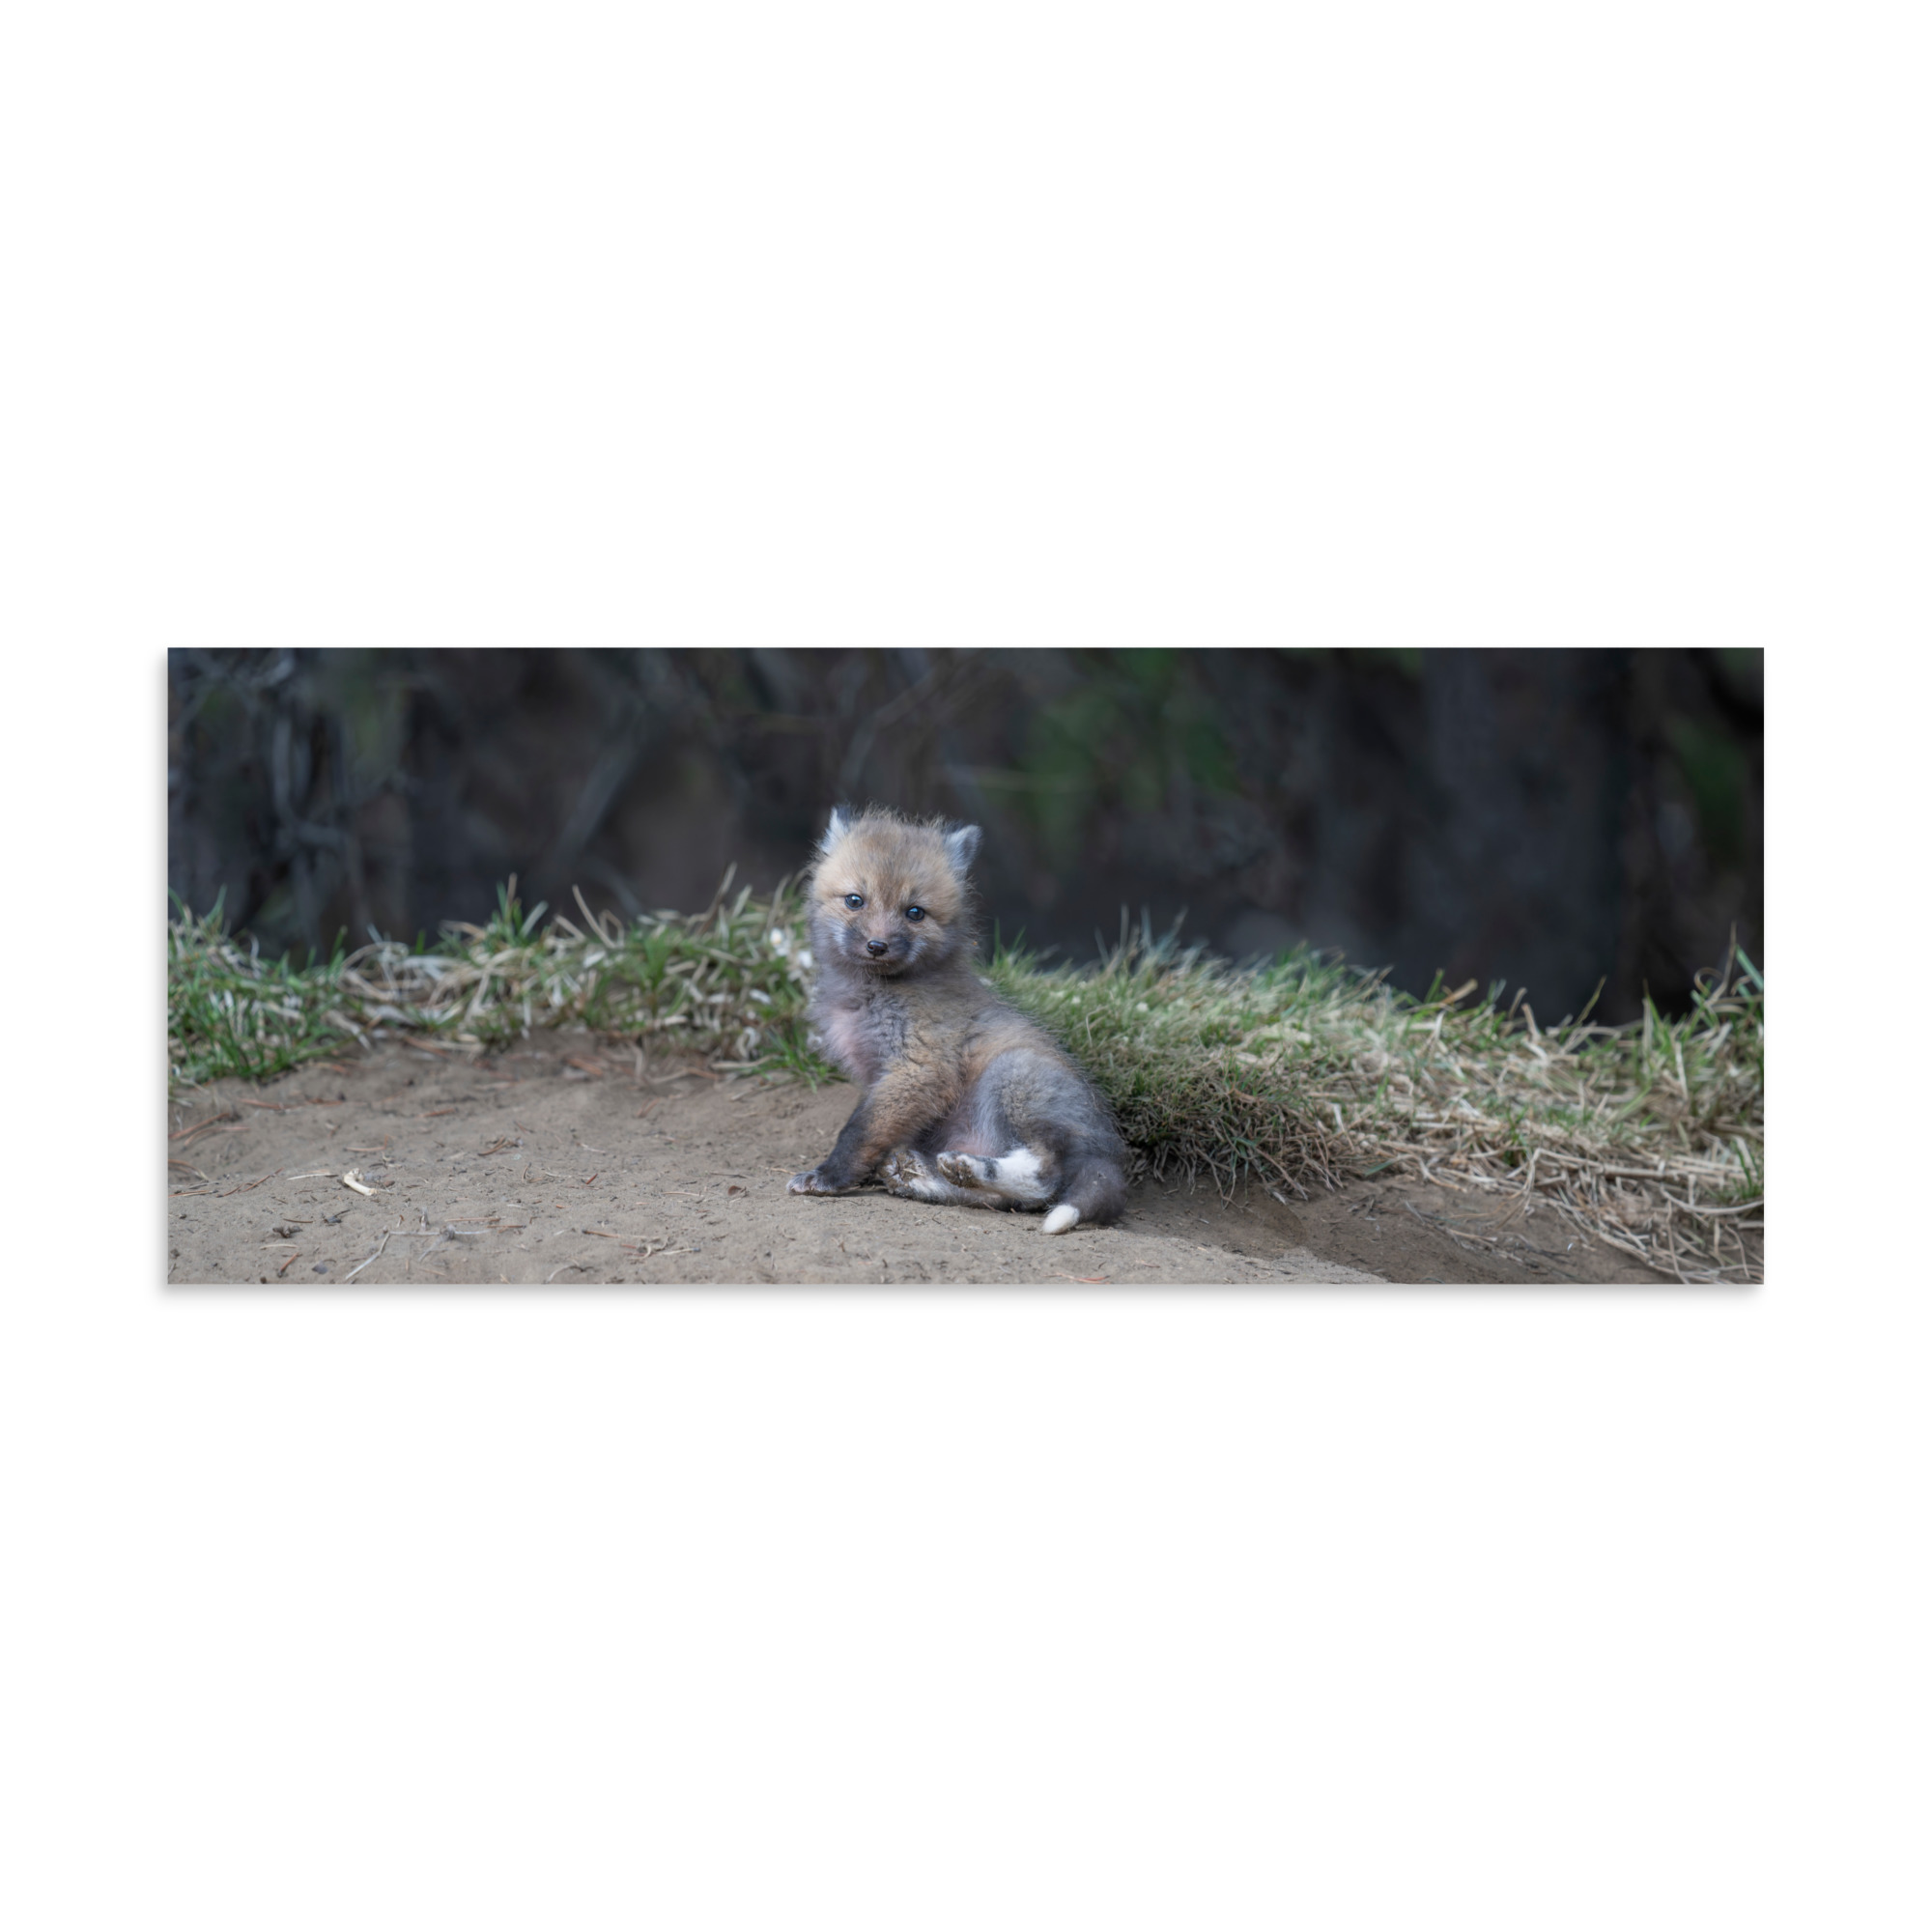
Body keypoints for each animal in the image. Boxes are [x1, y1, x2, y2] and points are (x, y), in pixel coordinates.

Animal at [786, 805, 1130, 1235]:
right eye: (855, 900)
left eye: (915, 912)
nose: (877, 946)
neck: (872, 994)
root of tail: (1109, 1153)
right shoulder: (884, 1077)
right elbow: (875, 1131)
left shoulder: (919, 1068)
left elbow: (859, 1131)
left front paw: (829, 1177)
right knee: (1005, 1200)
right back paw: (925, 1177)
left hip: (1012, 1075)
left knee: (1044, 1178)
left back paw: (967, 1168)